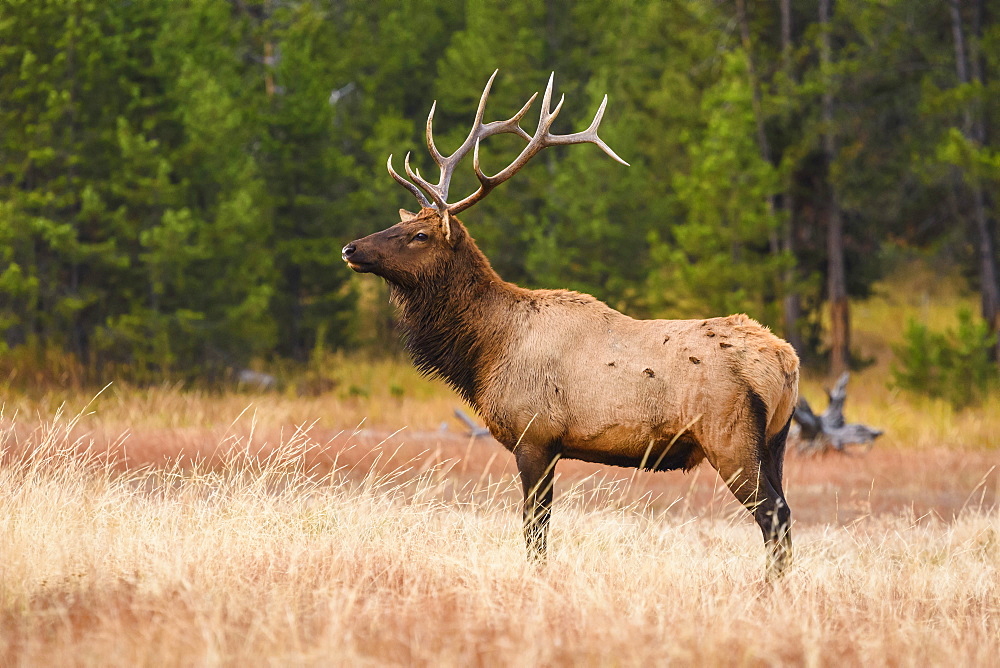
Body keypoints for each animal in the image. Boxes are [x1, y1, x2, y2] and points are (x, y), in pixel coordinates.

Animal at [342, 70, 796, 576]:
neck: (484, 354)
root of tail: (787, 361)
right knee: (783, 513)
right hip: (775, 441)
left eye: (419, 234)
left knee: (773, 515)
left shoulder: (535, 436)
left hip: (730, 438)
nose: (351, 248)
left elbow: (534, 531)